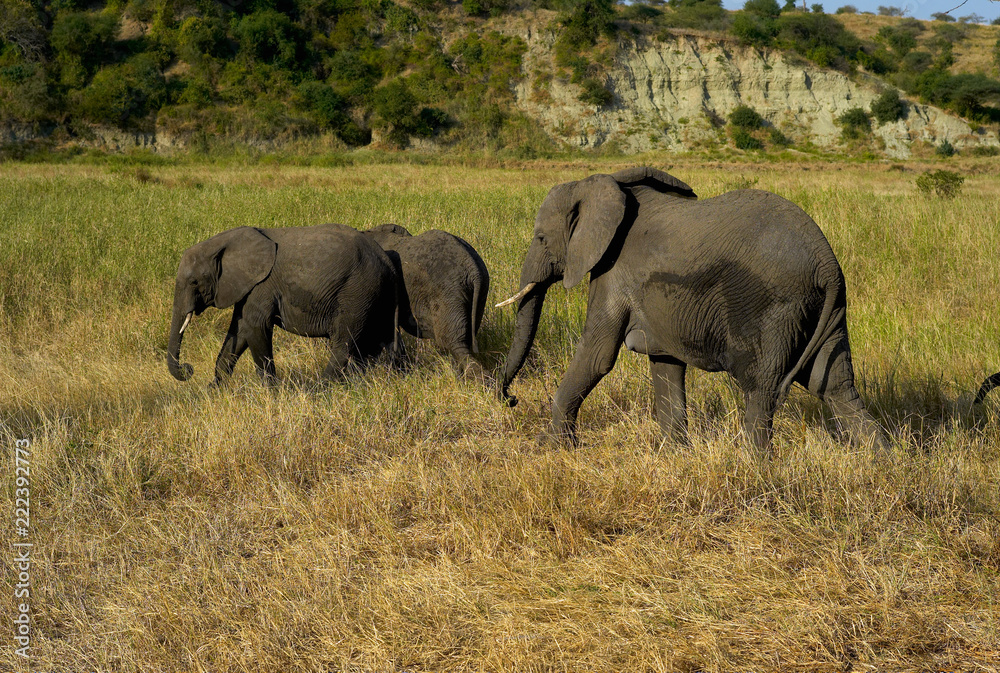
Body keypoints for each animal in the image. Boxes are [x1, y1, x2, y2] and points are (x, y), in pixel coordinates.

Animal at [167, 223, 400, 386]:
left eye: (194, 282)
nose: (188, 368)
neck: (225, 241)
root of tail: (386, 260)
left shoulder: (262, 285)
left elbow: (255, 328)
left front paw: (272, 393)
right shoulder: (248, 287)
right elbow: (240, 330)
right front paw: (214, 391)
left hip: (358, 290)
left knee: (344, 343)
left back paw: (320, 389)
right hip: (374, 294)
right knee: (373, 342)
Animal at [497, 166, 887, 453]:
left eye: (541, 238)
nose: (511, 399)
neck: (603, 183)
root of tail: (827, 264)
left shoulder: (613, 270)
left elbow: (597, 355)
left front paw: (552, 447)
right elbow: (664, 362)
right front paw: (674, 455)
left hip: (774, 308)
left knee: (760, 387)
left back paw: (756, 468)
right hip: (824, 310)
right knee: (835, 384)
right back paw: (880, 462)